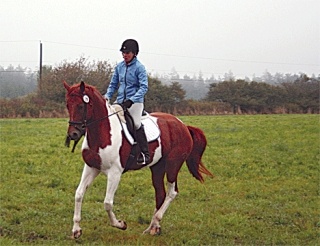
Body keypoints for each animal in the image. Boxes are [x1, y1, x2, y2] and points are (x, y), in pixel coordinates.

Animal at [63, 81, 212, 238]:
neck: (102, 134)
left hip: (173, 165)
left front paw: (120, 224)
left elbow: (107, 203)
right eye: (68, 105)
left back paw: (156, 221)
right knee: (160, 193)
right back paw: (153, 227)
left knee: (172, 192)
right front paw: (76, 230)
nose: (73, 134)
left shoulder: (115, 172)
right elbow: (79, 194)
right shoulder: (91, 167)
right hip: (157, 167)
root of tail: (183, 125)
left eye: (81, 105)